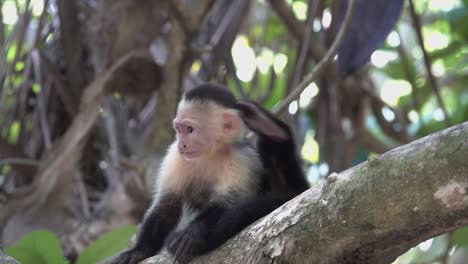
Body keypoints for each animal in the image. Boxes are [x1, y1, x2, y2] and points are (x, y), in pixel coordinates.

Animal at [111, 83, 308, 262]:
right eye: (179, 129)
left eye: (190, 130)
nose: (182, 144)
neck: (210, 154)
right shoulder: (174, 157)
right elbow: (167, 204)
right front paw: (140, 251)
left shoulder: (241, 159)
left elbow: (226, 203)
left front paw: (193, 232)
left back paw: (274, 131)